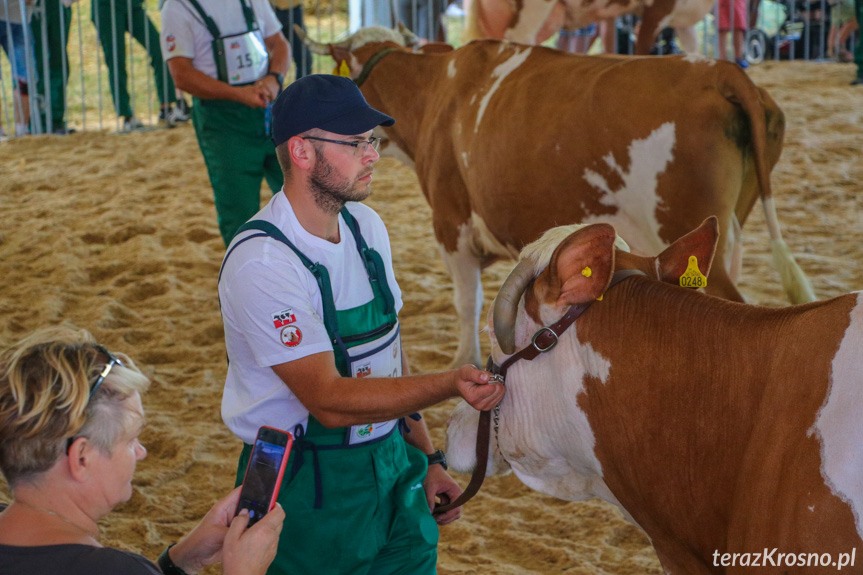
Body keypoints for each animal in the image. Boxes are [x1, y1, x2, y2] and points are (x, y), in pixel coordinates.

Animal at [302, 24, 816, 366]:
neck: (436, 93)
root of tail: (724, 71)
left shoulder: (452, 223)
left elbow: (466, 303)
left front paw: (463, 364)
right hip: (727, 234)